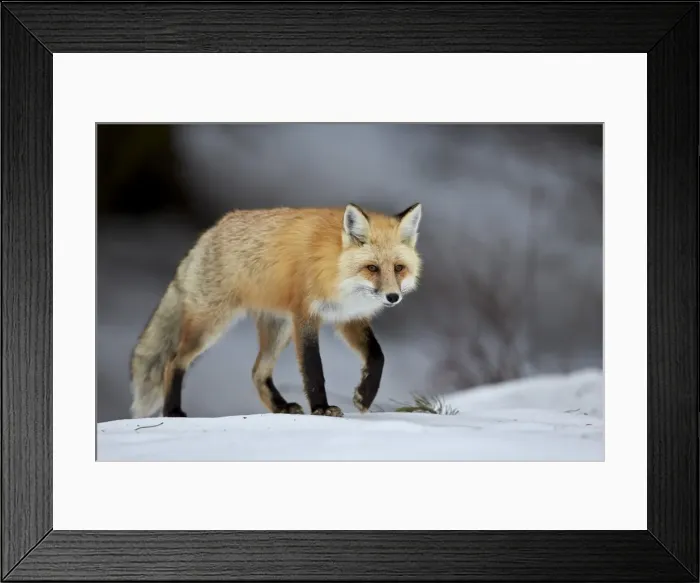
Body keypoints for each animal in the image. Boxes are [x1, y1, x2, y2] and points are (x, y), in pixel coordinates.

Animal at [129, 201, 423, 419]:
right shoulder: (306, 316)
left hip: (278, 329)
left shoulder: (348, 317)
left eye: (398, 268)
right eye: (372, 268)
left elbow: (377, 356)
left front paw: (364, 396)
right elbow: (314, 369)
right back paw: (172, 411)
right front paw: (321, 408)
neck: (336, 270)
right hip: (211, 326)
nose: (393, 297)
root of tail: (210, 232)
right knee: (173, 361)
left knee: (257, 372)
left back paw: (281, 407)